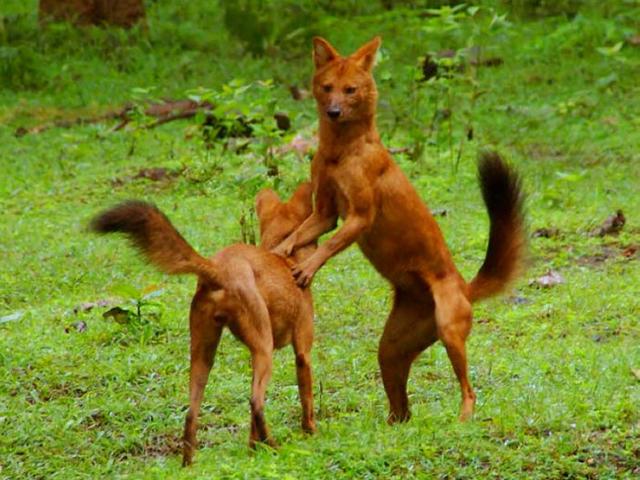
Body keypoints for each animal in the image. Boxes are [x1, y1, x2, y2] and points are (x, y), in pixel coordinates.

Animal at [91, 183, 316, 464]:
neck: (286, 259)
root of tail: (217, 268)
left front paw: (252, 452)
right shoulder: (302, 350)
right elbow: (307, 398)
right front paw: (310, 433)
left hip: (203, 354)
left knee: (191, 413)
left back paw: (189, 465)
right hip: (263, 348)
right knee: (256, 402)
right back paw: (275, 448)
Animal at [272, 39, 528, 426]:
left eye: (351, 90)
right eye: (327, 87)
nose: (333, 111)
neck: (339, 152)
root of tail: (465, 287)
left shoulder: (359, 216)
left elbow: (329, 245)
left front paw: (307, 268)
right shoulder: (326, 213)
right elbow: (298, 235)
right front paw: (276, 253)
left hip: (449, 330)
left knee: (469, 389)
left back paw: (462, 420)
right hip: (390, 349)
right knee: (403, 408)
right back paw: (392, 427)